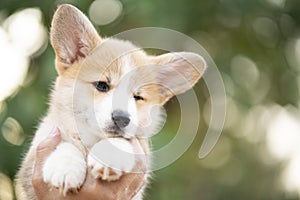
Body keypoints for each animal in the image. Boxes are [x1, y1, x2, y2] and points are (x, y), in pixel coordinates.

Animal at [15, 3, 205, 200]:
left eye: (138, 97)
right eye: (102, 85)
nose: (122, 119)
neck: (93, 139)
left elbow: (121, 140)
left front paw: (108, 157)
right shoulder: (34, 156)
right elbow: (65, 142)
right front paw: (65, 167)